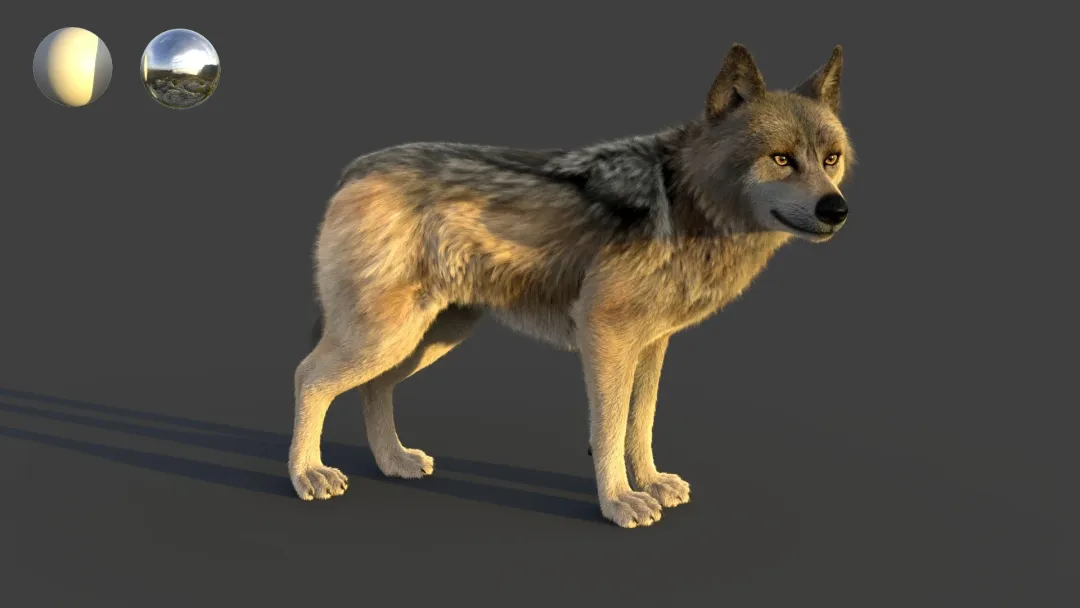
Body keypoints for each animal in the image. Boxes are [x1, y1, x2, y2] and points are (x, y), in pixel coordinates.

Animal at [289, 43, 855, 528]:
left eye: (831, 158)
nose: (837, 209)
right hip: (387, 337)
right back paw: (307, 475)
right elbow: (609, 430)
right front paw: (621, 501)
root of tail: (357, 168)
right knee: (308, 377)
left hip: (427, 339)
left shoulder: (652, 345)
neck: (688, 203)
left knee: (373, 387)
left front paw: (650, 482)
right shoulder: (605, 337)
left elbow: (641, 423)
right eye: (781, 158)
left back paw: (393, 461)